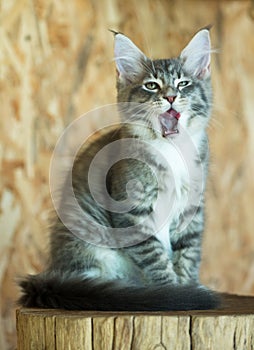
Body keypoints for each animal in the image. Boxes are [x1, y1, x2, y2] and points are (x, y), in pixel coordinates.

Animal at [18, 28, 219, 312]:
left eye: (183, 84)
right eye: (151, 85)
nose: (170, 96)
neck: (172, 152)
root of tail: (52, 271)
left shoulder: (191, 209)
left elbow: (188, 254)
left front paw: (189, 286)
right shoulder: (132, 212)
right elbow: (156, 258)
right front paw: (174, 291)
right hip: (87, 244)